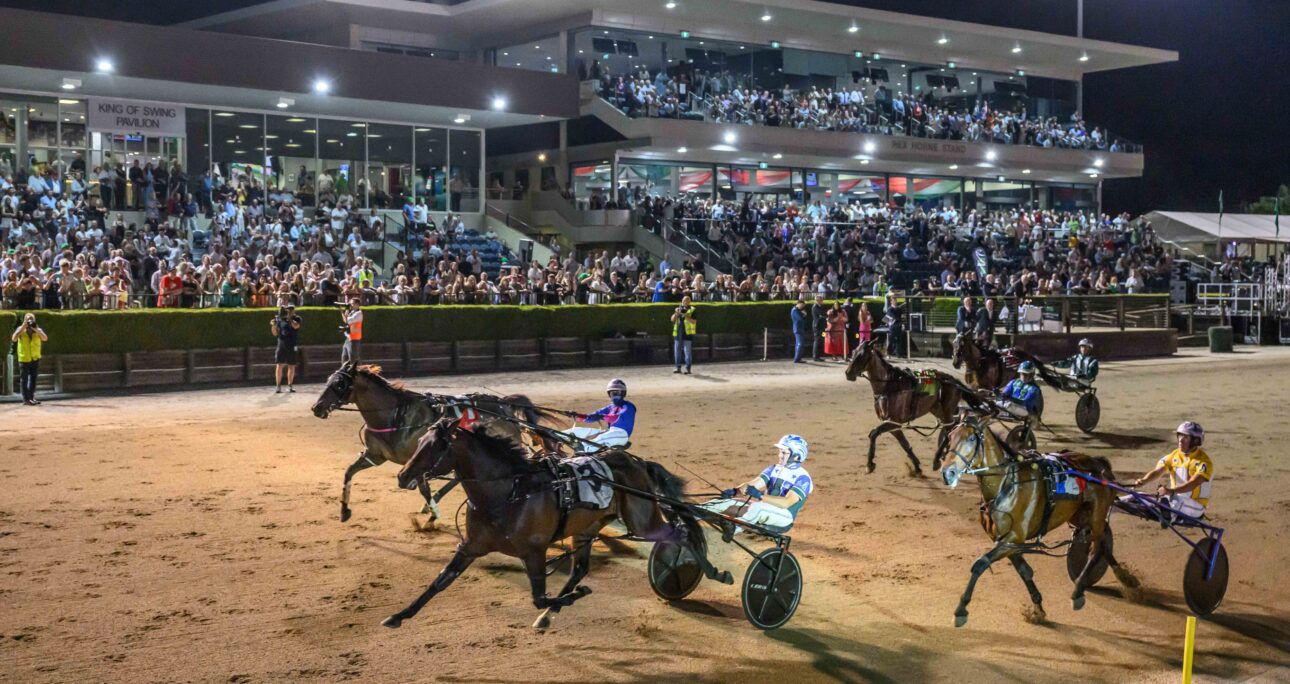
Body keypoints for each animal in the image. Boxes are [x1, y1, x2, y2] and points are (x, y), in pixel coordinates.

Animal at [310, 361, 559, 521]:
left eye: (339, 384)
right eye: (328, 380)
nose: (316, 408)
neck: (395, 415)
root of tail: (504, 404)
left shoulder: (420, 459)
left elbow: (423, 487)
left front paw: (433, 515)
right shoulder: (375, 456)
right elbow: (349, 472)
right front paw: (344, 511)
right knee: (458, 477)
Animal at [841, 335, 980, 474]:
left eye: (862, 355)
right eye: (853, 352)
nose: (848, 373)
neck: (889, 386)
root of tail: (952, 380)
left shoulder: (892, 421)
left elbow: (873, 433)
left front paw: (869, 464)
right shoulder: (893, 424)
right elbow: (904, 444)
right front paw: (916, 465)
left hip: (947, 410)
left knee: (949, 429)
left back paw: (937, 459)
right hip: (938, 409)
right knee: (952, 425)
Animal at [939, 410, 1140, 622]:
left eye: (971, 438)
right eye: (950, 437)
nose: (947, 472)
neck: (1006, 483)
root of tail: (1100, 464)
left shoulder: (1012, 538)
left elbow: (980, 564)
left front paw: (961, 609)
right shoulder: (1008, 541)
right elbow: (1024, 571)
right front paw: (1038, 607)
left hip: (1097, 514)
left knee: (1095, 549)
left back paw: (1078, 590)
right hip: (1079, 515)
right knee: (1102, 544)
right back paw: (1127, 580)